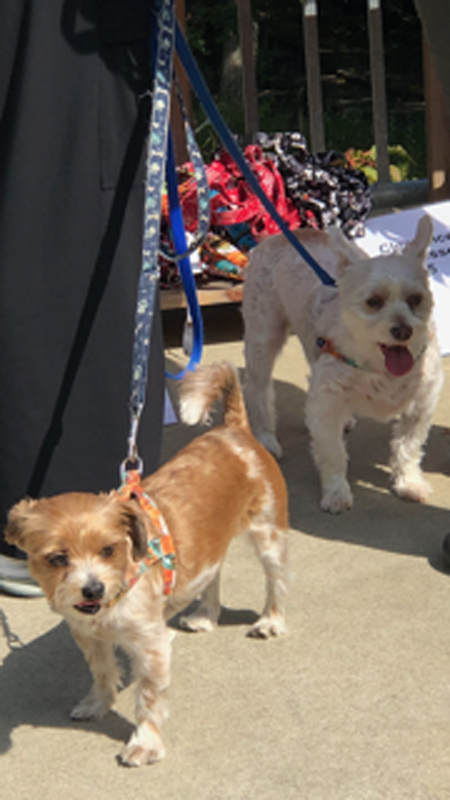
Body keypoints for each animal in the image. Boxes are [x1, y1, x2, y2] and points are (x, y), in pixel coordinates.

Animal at [5, 361, 288, 767]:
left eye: (109, 550)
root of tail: (233, 429)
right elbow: (103, 672)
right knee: (213, 572)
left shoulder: (151, 645)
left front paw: (145, 743)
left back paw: (270, 621)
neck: (115, 595)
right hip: (211, 546)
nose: (92, 588)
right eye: (57, 558)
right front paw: (98, 703)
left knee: (276, 582)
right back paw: (206, 615)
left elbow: (149, 699)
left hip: (269, 535)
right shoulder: (89, 636)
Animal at [242, 215, 444, 513]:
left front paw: (409, 483)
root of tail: (282, 235)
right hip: (263, 336)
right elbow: (334, 453)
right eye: (373, 302)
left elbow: (408, 447)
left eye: (416, 299)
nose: (403, 331)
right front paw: (336, 493)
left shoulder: (421, 406)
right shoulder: (325, 407)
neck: (380, 368)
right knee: (258, 388)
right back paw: (266, 438)